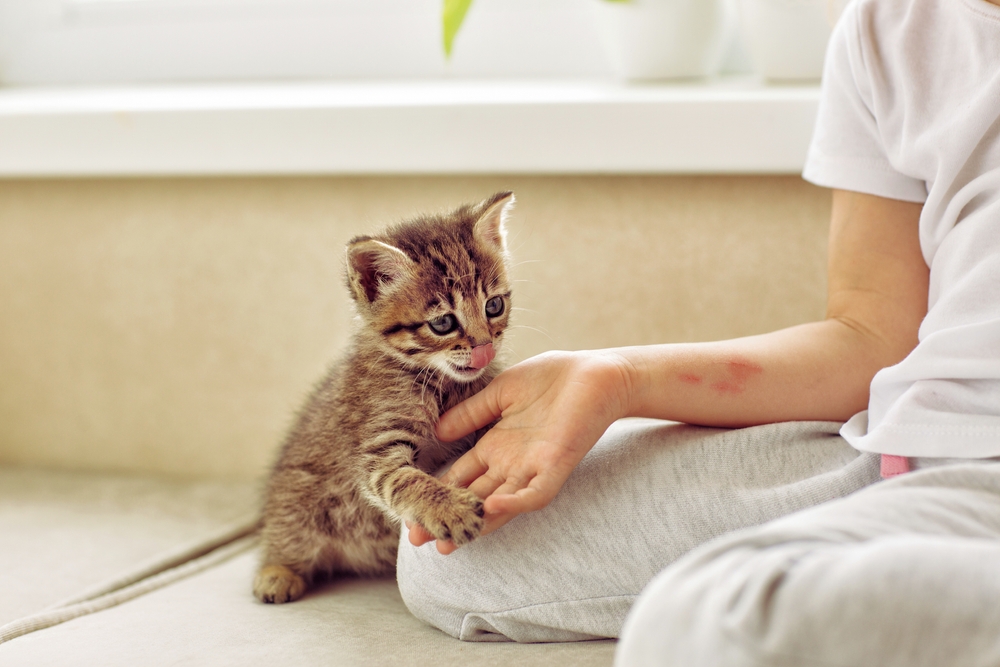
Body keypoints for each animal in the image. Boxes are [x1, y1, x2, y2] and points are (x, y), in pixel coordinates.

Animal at [254, 190, 516, 604]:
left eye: (494, 306)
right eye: (443, 323)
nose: (485, 348)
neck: (443, 382)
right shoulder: (376, 449)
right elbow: (404, 480)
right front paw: (449, 508)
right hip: (297, 504)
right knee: (286, 538)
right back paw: (277, 572)